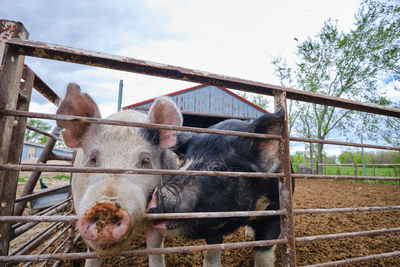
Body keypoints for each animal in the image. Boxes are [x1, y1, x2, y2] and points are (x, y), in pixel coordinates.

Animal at [147, 109, 290, 267]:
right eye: (182, 163)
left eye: (219, 169)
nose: (157, 195)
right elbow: (212, 251)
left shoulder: (276, 210)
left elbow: (263, 252)